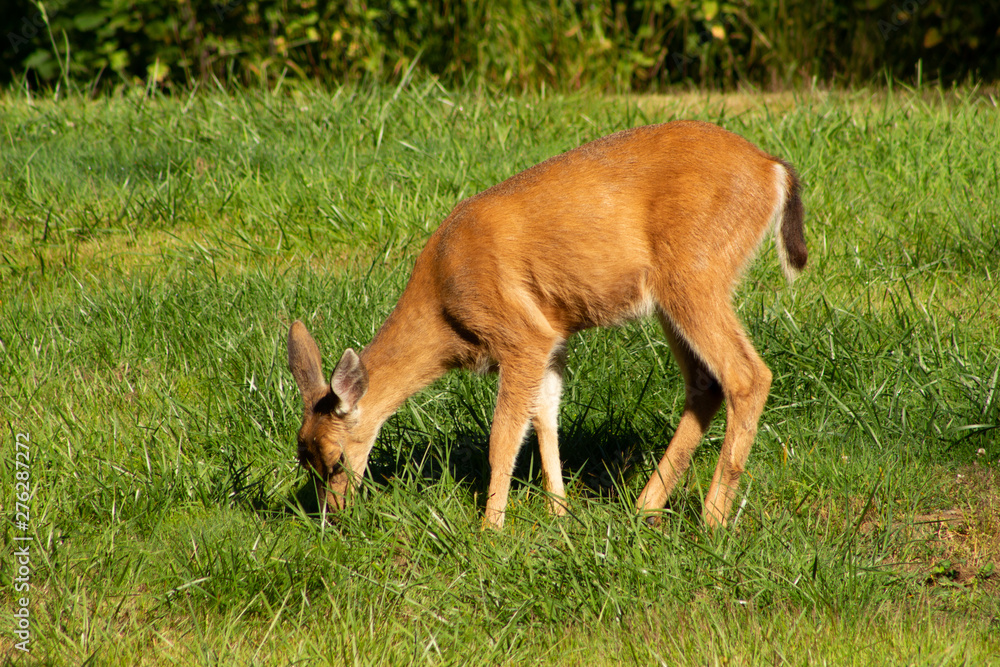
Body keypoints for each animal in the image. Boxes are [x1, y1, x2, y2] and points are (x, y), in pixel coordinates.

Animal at [287, 120, 806, 530]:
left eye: (336, 460)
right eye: (304, 460)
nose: (333, 518)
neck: (444, 305)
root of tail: (772, 168)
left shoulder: (520, 334)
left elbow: (503, 436)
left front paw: (491, 528)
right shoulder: (553, 337)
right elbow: (545, 414)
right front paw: (558, 511)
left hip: (695, 273)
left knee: (747, 375)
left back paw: (712, 519)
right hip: (673, 298)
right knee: (705, 382)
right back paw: (644, 507)